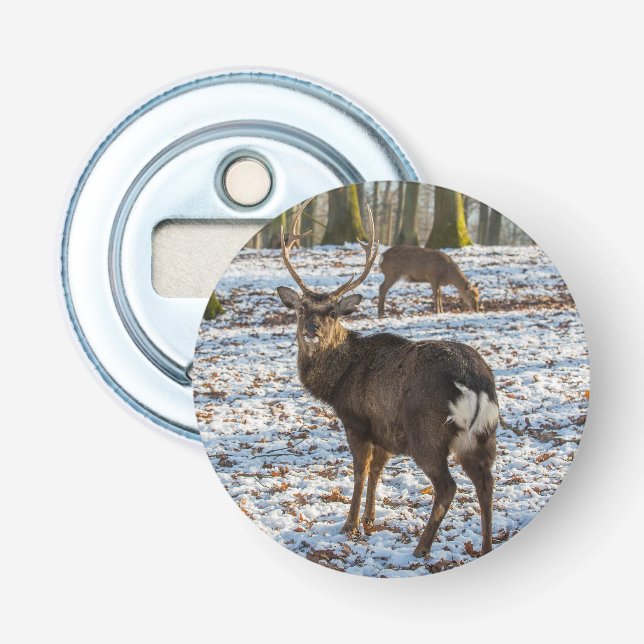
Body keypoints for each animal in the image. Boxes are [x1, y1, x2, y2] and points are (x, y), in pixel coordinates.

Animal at [276, 200, 499, 559]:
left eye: (333, 312)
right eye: (300, 309)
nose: (312, 329)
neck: (337, 383)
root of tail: (476, 382)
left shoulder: (357, 421)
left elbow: (360, 472)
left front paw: (350, 525)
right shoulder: (384, 432)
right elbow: (377, 472)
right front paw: (369, 521)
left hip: (428, 433)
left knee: (448, 487)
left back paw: (421, 548)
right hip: (483, 435)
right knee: (486, 482)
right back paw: (486, 546)